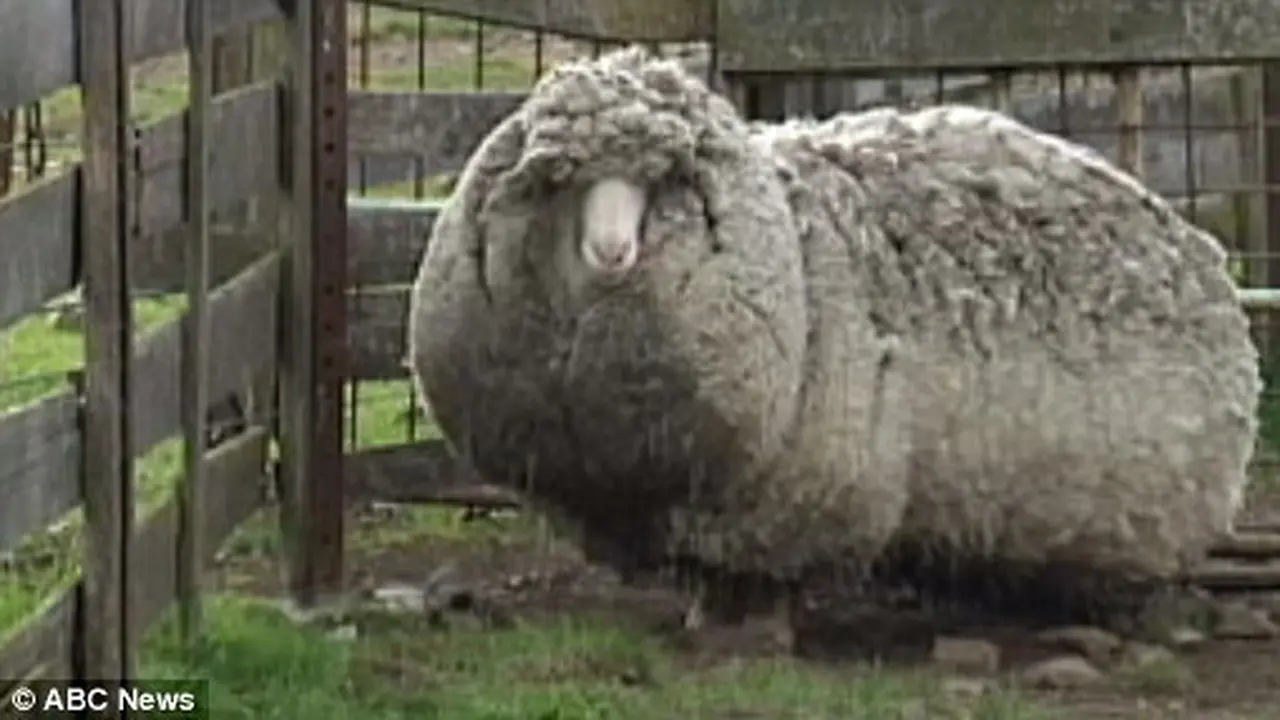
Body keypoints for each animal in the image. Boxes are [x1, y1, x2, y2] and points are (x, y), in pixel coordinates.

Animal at [407, 47, 1262, 646]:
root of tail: (1200, 249)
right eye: (558, 181)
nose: (611, 251)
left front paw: (748, 633)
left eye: (666, 181)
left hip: (1149, 510)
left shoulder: (791, 498)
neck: (793, 251)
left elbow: (756, 579)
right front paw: (703, 619)